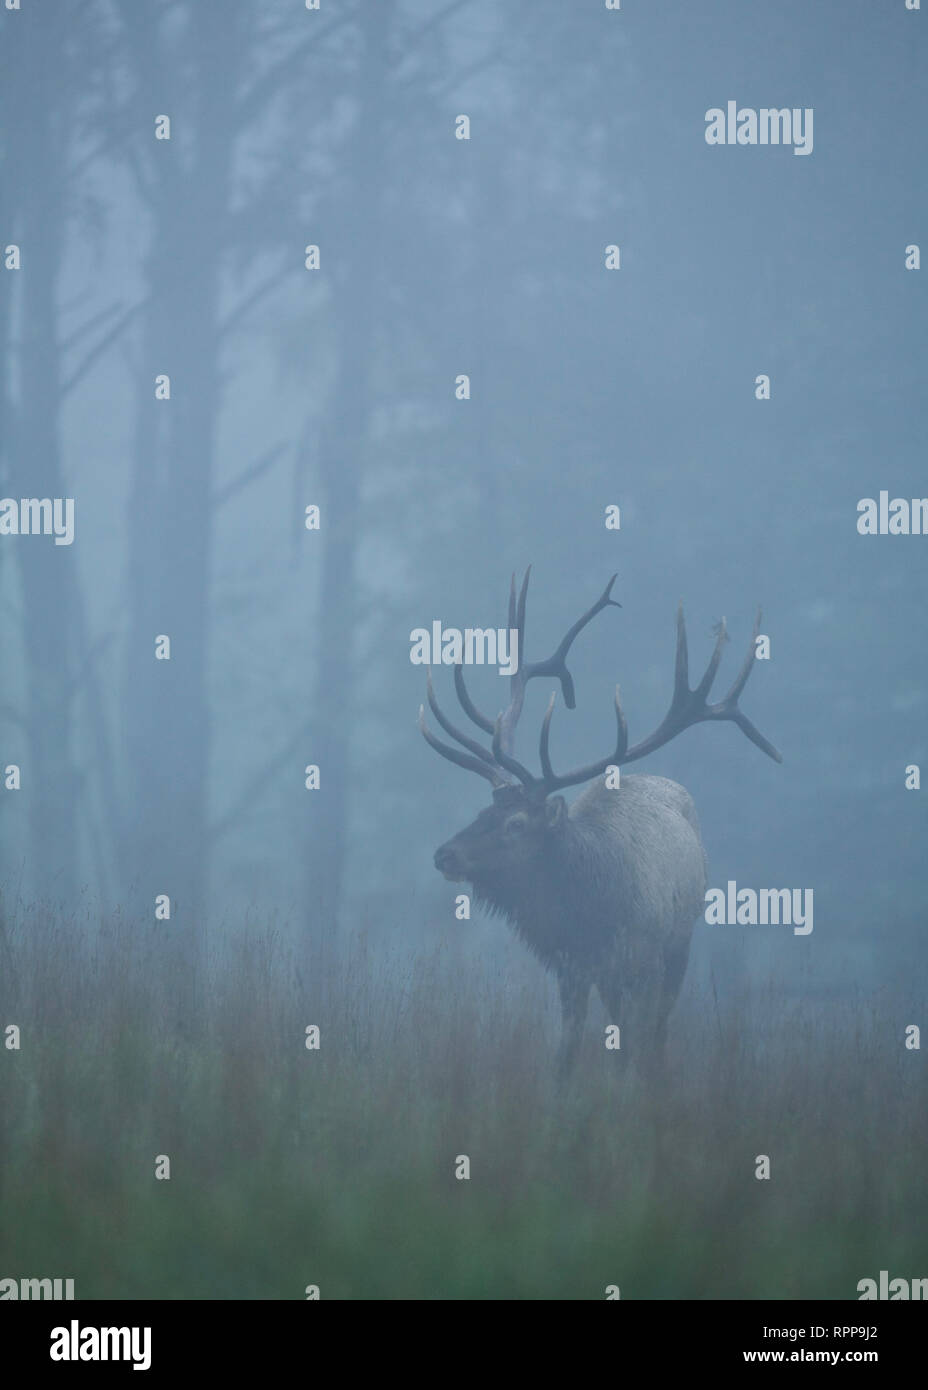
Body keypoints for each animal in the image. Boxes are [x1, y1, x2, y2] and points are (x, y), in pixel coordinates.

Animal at [416, 569, 777, 1067]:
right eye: (483, 810)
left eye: (516, 824)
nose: (443, 855)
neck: (590, 915)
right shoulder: (571, 967)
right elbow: (567, 1052)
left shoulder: (644, 960)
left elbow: (636, 1044)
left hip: (678, 946)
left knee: (657, 1031)